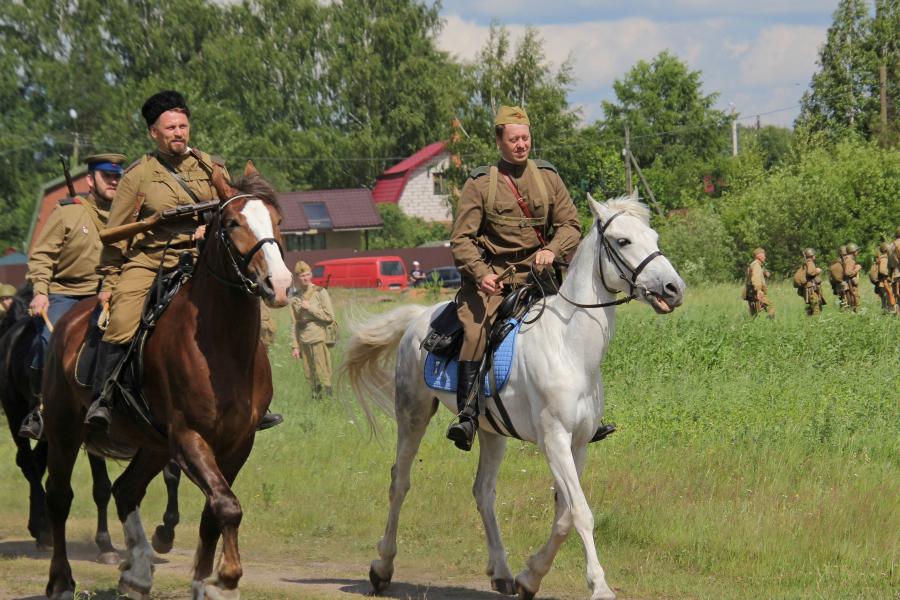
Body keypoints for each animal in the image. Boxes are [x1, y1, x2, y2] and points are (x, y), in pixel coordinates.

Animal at [0, 284, 183, 560]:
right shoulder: (95, 436)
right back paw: (43, 530)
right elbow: (103, 488)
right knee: (30, 465)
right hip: (15, 413)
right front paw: (105, 544)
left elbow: (169, 477)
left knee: (39, 466)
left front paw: (163, 536)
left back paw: (41, 531)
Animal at [43, 162, 292, 596]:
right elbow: (227, 506)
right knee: (59, 498)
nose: (278, 284)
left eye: (277, 220)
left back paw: (138, 573)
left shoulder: (237, 443)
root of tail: (67, 323)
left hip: (154, 444)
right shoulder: (190, 438)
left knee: (126, 490)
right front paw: (226, 578)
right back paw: (62, 579)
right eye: (231, 223)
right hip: (63, 431)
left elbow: (215, 513)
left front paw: (205, 582)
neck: (222, 345)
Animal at [344, 195, 684, 596]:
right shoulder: (554, 440)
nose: (673, 288)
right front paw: (600, 586)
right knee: (400, 481)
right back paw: (382, 568)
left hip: (491, 432)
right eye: (623, 241)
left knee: (483, 491)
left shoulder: (578, 444)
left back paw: (503, 572)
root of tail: (418, 317)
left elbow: (565, 516)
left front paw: (530, 577)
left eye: (653, 236)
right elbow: (581, 513)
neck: (569, 348)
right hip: (413, 414)